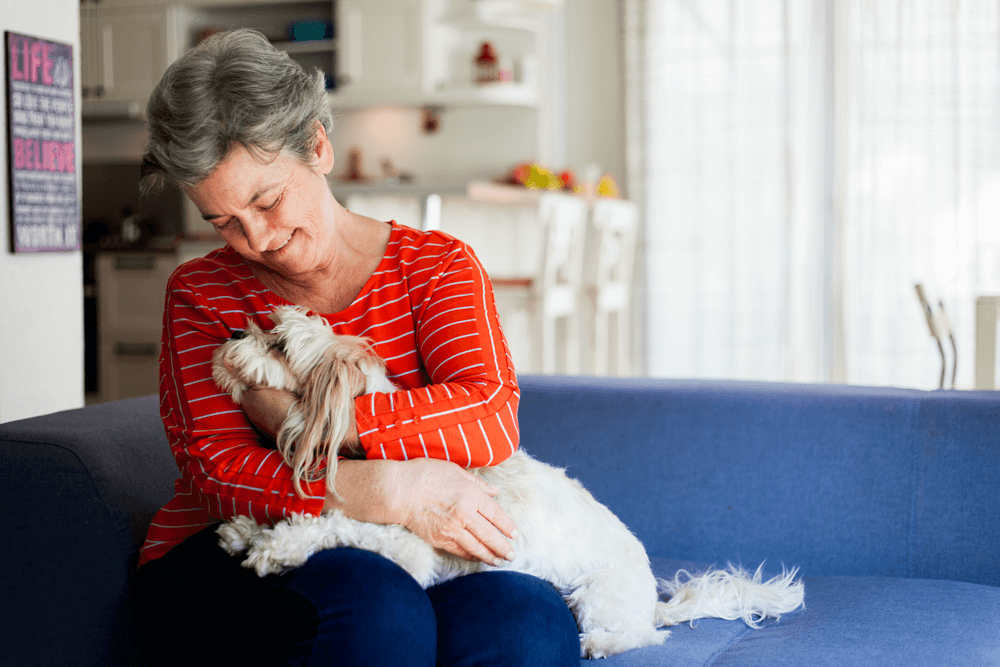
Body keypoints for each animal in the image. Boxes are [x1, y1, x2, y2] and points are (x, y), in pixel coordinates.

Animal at [211, 310, 804, 664]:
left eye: (278, 344)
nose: (232, 335)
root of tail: (650, 602)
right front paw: (246, 529)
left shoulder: (409, 545)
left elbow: (335, 524)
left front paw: (275, 546)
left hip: (597, 596)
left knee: (643, 636)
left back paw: (600, 642)